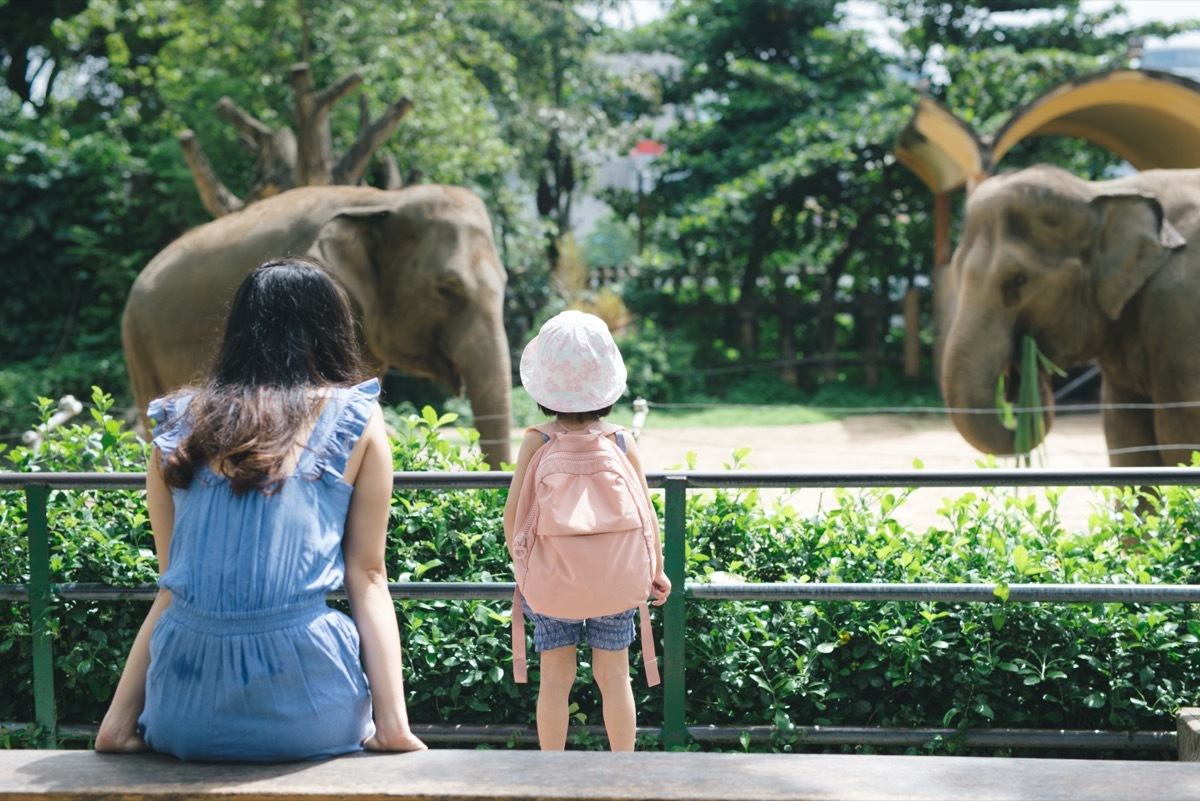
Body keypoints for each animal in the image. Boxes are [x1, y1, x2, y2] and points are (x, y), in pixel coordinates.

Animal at [936, 163, 1200, 465]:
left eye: (1018, 280)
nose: (1022, 360)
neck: (1100, 192)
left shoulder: (1178, 311)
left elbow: (1179, 436)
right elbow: (1124, 433)